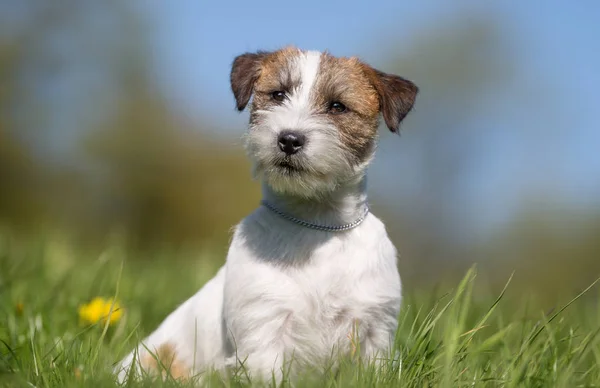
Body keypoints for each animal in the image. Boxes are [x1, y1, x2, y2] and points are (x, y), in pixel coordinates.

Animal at [115, 46, 420, 384]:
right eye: (278, 95)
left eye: (337, 106)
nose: (289, 139)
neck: (317, 225)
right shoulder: (263, 328)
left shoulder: (375, 328)